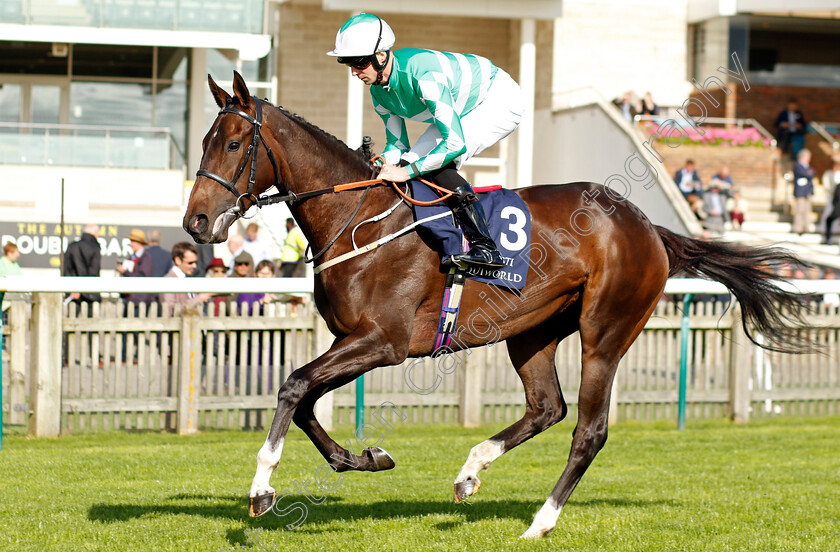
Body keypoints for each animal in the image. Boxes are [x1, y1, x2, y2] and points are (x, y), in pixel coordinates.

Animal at [182, 73, 808, 540]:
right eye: (206, 143)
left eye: (234, 145)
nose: (195, 222)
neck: (357, 218)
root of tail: (650, 227)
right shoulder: (350, 340)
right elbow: (307, 400)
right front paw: (367, 458)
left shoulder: (382, 343)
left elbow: (293, 385)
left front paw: (262, 489)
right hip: (532, 331)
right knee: (546, 408)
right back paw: (469, 472)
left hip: (606, 329)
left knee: (589, 429)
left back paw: (540, 522)